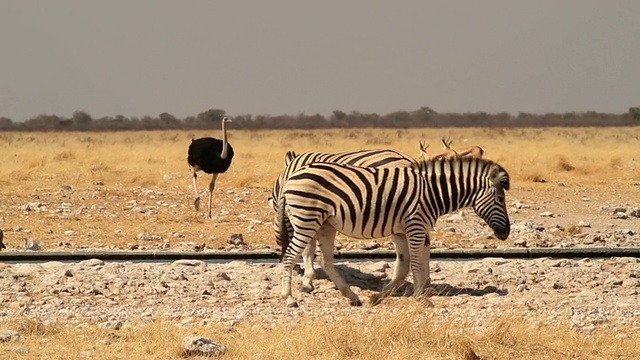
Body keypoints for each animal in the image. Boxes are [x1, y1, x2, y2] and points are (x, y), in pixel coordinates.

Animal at [278, 157, 512, 306]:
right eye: (500, 198)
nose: (506, 233)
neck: (433, 193)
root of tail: (291, 176)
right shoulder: (415, 226)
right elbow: (416, 264)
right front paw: (421, 299)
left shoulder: (401, 232)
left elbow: (403, 267)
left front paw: (378, 297)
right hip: (307, 219)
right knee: (289, 256)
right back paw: (289, 298)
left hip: (325, 224)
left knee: (326, 261)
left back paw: (352, 296)